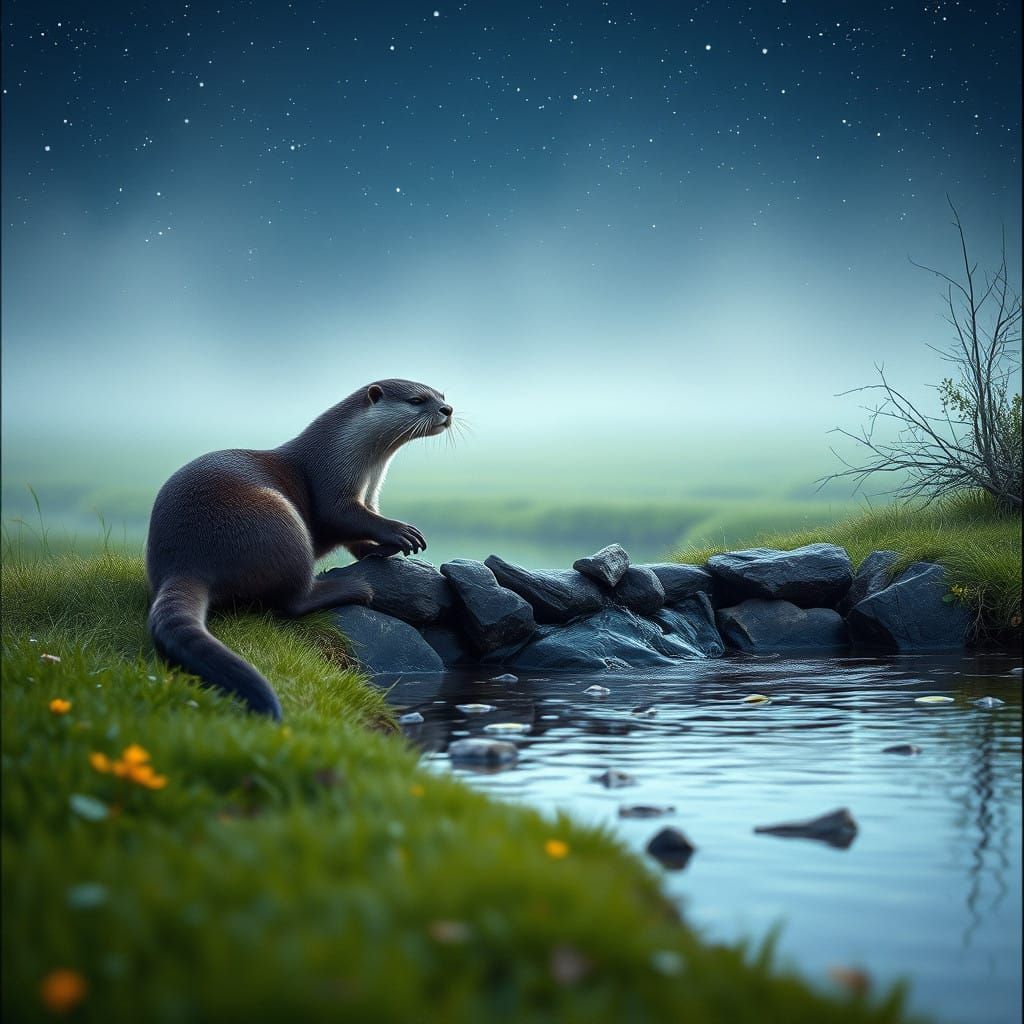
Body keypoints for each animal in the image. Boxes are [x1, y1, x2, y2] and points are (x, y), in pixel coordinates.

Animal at [145, 379, 452, 721]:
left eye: (441, 395)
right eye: (417, 400)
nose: (448, 410)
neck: (346, 453)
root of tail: (187, 563)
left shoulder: (370, 496)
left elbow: (359, 538)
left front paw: (383, 549)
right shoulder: (333, 486)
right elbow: (342, 516)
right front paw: (400, 532)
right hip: (280, 522)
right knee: (293, 601)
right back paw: (352, 587)